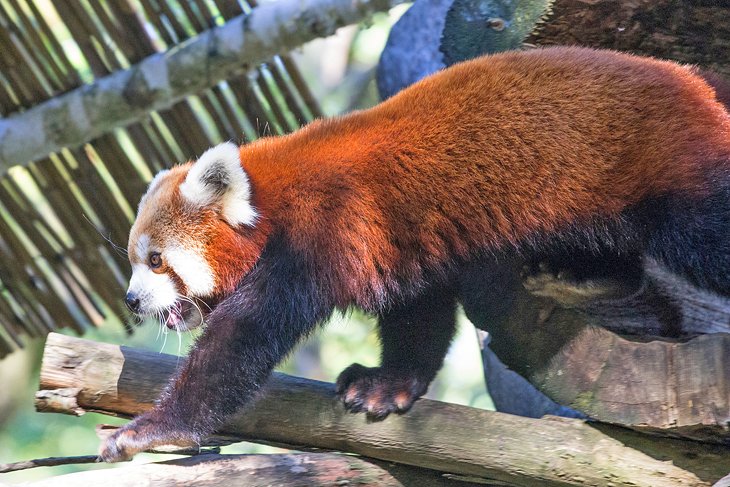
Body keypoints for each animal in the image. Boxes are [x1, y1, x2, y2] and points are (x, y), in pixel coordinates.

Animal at [101, 45, 728, 462]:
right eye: (135, 261)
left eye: (155, 261)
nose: (132, 300)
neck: (273, 198)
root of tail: (692, 79)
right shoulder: (399, 247)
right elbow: (420, 317)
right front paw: (388, 384)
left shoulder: (322, 232)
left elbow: (240, 342)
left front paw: (154, 429)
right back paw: (582, 278)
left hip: (666, 168)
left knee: (702, 231)